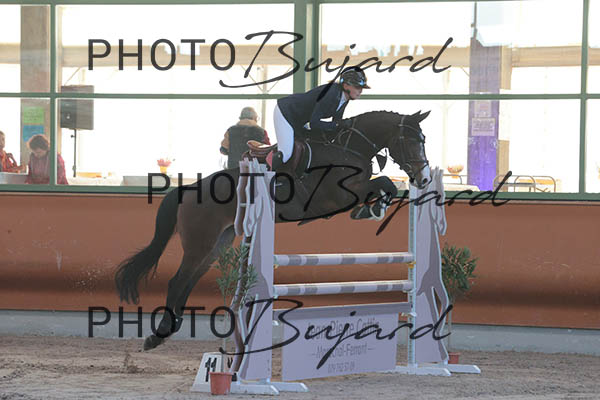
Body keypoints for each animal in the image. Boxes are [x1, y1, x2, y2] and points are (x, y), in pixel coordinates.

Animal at [115, 110, 432, 351]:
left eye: (423, 139)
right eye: (411, 140)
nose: (424, 177)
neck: (347, 148)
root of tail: (187, 190)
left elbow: (384, 184)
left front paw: (372, 209)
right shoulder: (338, 195)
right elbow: (383, 183)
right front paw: (371, 209)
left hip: (218, 243)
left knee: (189, 281)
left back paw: (170, 328)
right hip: (200, 243)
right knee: (177, 281)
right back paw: (158, 335)